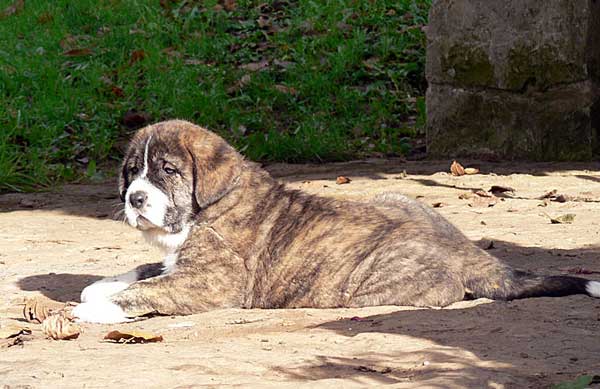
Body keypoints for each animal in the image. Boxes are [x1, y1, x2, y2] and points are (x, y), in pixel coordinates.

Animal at [72, 119, 600, 322]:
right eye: (132, 172)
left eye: (167, 171)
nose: (135, 198)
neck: (208, 205)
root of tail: (471, 252)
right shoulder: (178, 263)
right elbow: (141, 273)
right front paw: (97, 289)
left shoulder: (212, 281)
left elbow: (150, 289)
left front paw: (98, 308)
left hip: (368, 286)